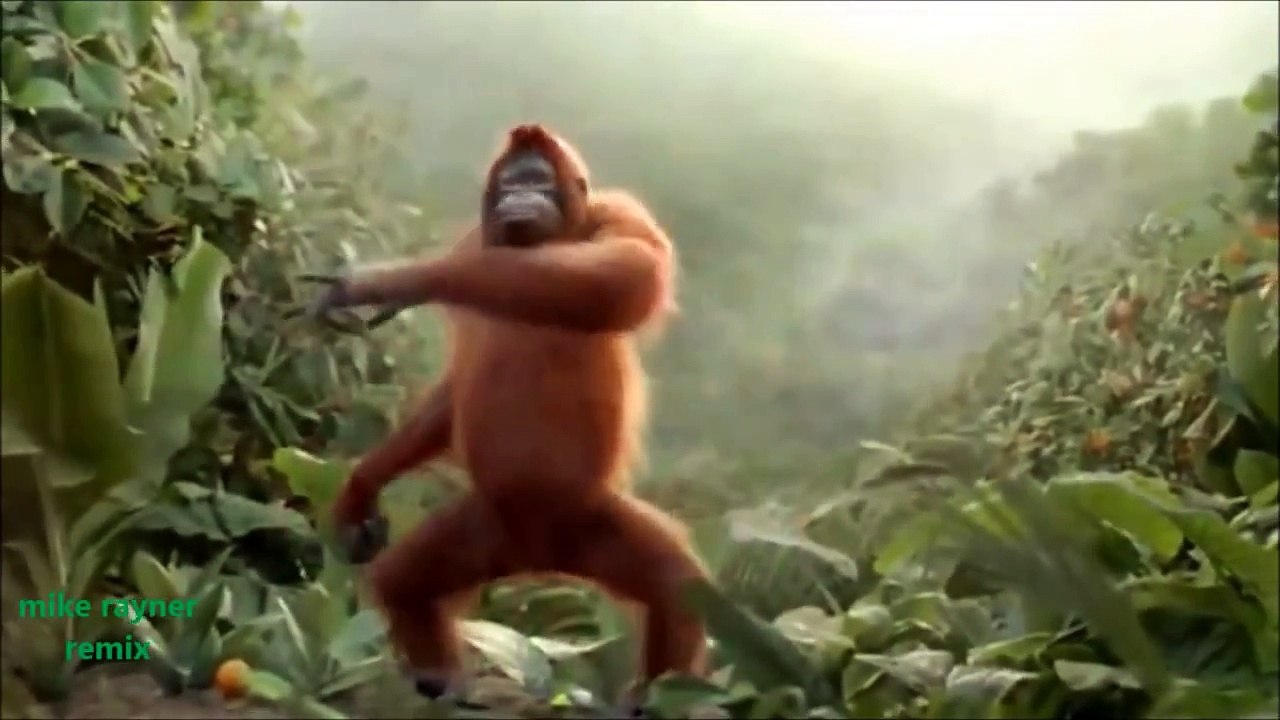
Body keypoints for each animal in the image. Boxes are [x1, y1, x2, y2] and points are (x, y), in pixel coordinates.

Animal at [299, 124, 707, 704]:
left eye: (538, 180)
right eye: (512, 182)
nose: (520, 197)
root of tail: (536, 553)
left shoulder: (620, 213)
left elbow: (625, 273)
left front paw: (393, 280)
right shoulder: (475, 244)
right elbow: (451, 392)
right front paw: (362, 486)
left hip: (590, 520)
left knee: (678, 589)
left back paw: (657, 700)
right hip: (484, 527)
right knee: (404, 583)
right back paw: (442, 684)